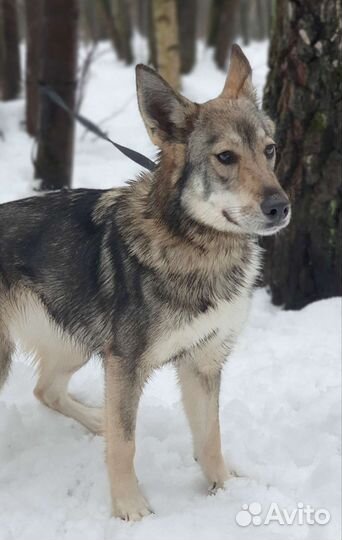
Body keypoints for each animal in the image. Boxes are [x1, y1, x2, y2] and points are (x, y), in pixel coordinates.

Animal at [0, 45, 292, 520]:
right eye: (226, 157)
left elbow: (210, 438)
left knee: (45, 390)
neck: (197, 248)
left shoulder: (203, 363)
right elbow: (126, 443)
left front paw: (224, 491)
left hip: (77, 344)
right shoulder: (126, 364)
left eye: (269, 150)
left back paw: (95, 419)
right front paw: (130, 509)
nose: (280, 207)